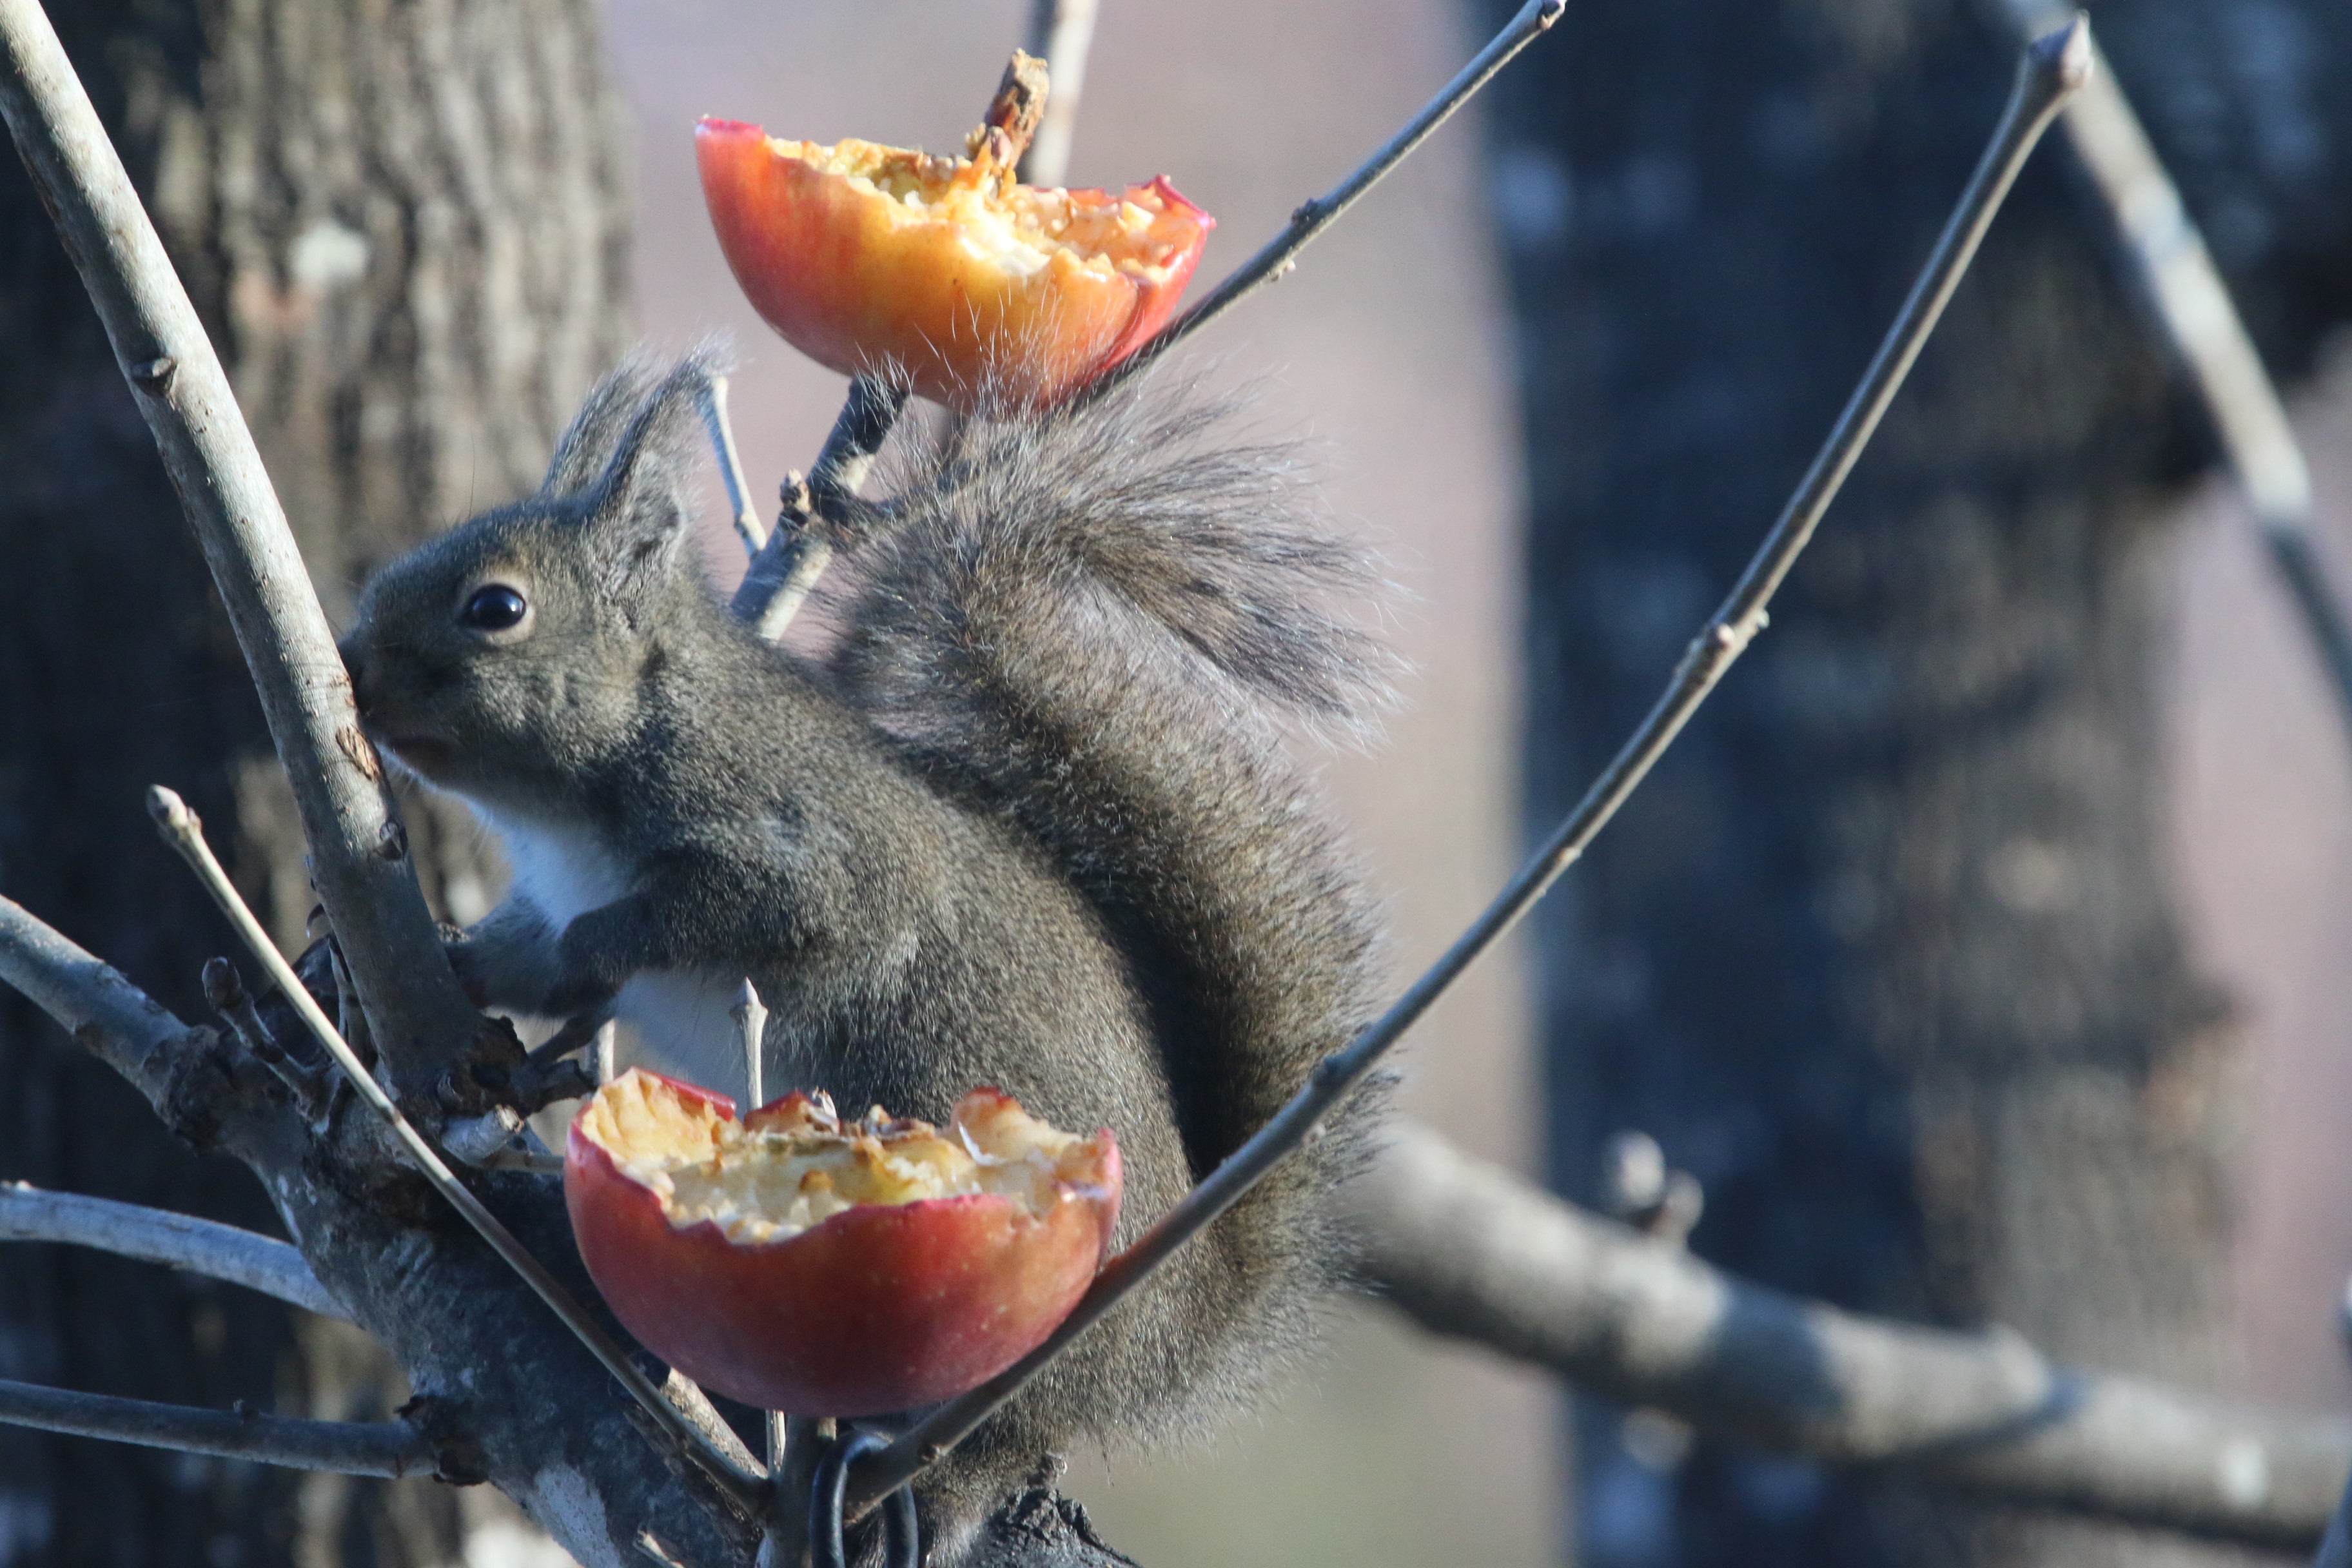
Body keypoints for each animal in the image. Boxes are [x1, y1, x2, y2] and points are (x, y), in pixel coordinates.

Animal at [336, 350, 1392, 1551]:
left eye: (497, 609)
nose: (349, 663)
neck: (580, 798)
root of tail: (1179, 1326)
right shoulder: (543, 892)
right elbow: (516, 948)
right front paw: (445, 962)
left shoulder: (813, 859)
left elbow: (727, 915)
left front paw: (597, 951)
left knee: (1011, 1437)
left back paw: (952, 1489)